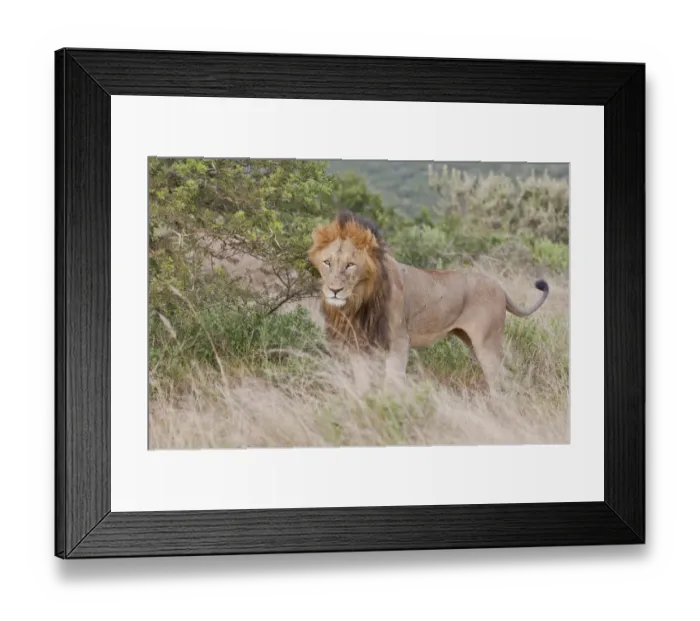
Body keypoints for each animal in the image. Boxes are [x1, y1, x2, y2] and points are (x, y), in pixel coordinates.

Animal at [307, 210, 549, 391]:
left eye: (350, 265)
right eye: (327, 262)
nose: (334, 290)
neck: (359, 301)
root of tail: (500, 288)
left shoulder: (399, 342)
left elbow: (392, 382)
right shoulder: (358, 344)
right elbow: (362, 383)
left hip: (487, 342)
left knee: (498, 379)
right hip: (472, 342)